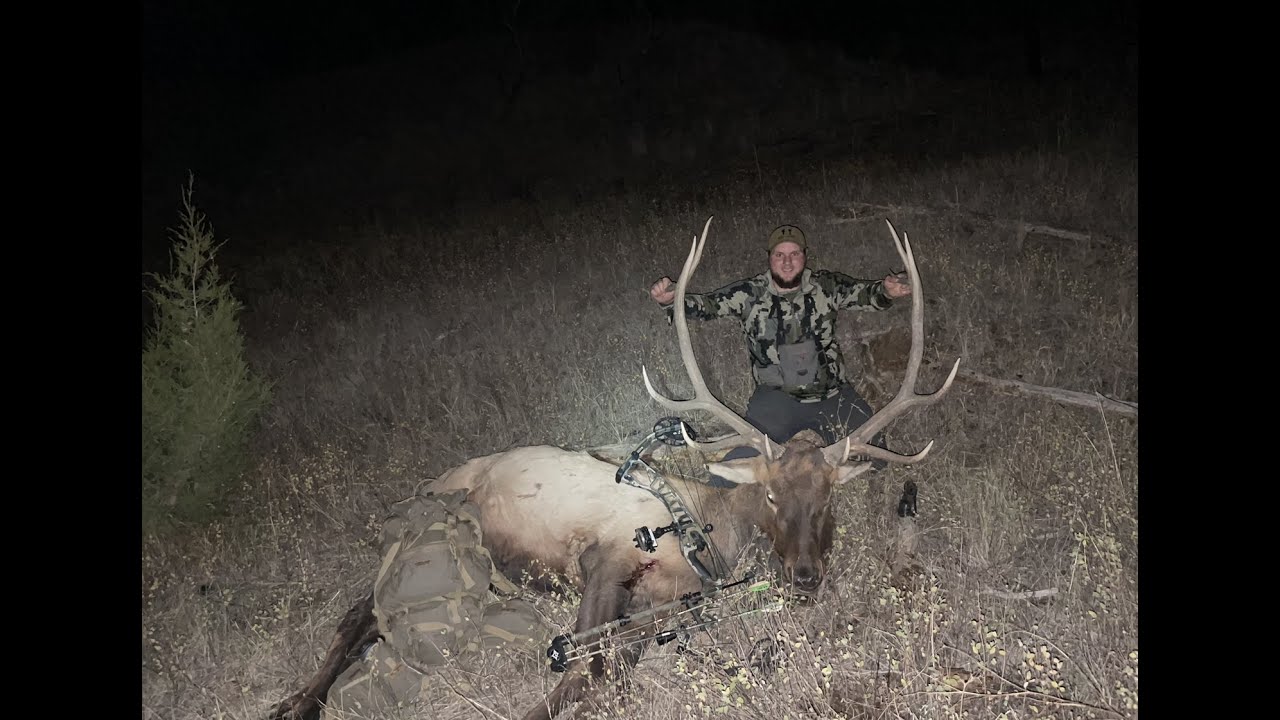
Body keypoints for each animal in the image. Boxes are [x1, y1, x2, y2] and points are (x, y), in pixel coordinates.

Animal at [268, 217, 959, 720]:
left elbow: (602, 673)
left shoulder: (659, 611)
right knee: (356, 611)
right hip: (430, 525)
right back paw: (294, 701)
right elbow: (578, 666)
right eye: (769, 497)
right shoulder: (607, 553)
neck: (704, 531)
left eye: (828, 498)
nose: (807, 576)